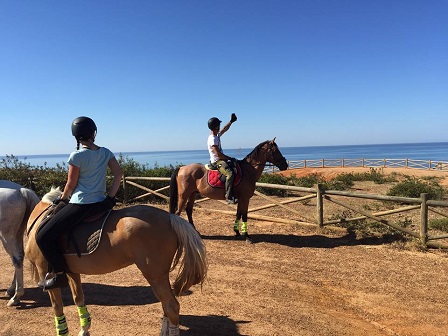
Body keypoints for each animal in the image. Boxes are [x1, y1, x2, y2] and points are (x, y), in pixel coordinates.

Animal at [24, 188, 206, 336]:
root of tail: (169, 217)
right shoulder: (72, 272)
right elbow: (78, 298)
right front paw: (84, 330)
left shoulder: (45, 272)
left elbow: (57, 306)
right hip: (159, 276)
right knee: (166, 306)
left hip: (154, 275)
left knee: (171, 306)